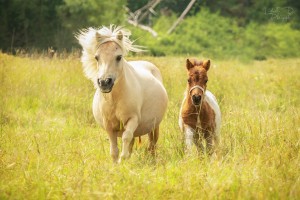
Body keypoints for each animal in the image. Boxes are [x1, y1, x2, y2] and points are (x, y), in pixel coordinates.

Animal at [76, 25, 168, 162]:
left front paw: (122, 160)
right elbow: (114, 148)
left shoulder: (132, 119)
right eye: (97, 57)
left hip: (154, 125)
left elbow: (126, 137)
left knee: (152, 143)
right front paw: (117, 163)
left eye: (118, 57)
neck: (115, 99)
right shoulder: (108, 125)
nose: (104, 82)